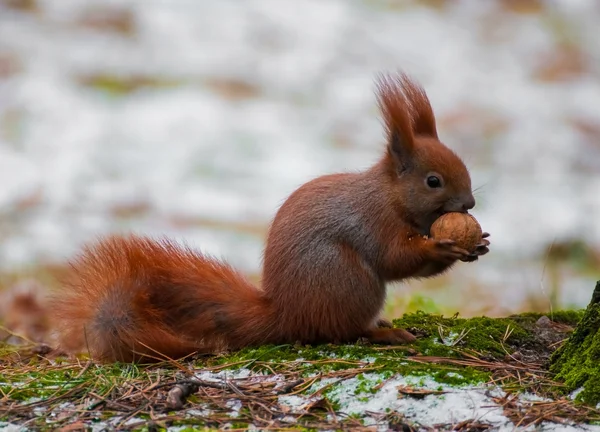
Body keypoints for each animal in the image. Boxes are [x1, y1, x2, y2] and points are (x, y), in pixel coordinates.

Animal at [49, 72, 490, 362]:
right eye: (433, 181)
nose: (469, 204)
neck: (391, 196)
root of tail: (286, 315)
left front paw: (478, 246)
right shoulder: (373, 221)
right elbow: (395, 258)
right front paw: (443, 246)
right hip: (350, 281)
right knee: (342, 332)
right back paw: (386, 333)